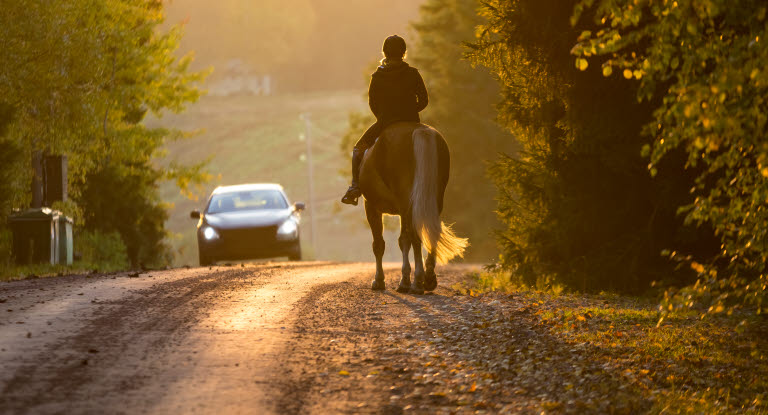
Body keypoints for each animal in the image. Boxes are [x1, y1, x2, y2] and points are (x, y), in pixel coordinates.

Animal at [360, 122, 468, 294]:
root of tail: (420, 130)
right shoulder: (403, 210)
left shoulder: (371, 206)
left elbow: (379, 244)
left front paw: (379, 281)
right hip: (431, 199)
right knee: (429, 233)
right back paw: (428, 279)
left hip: (405, 201)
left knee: (411, 237)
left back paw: (414, 282)